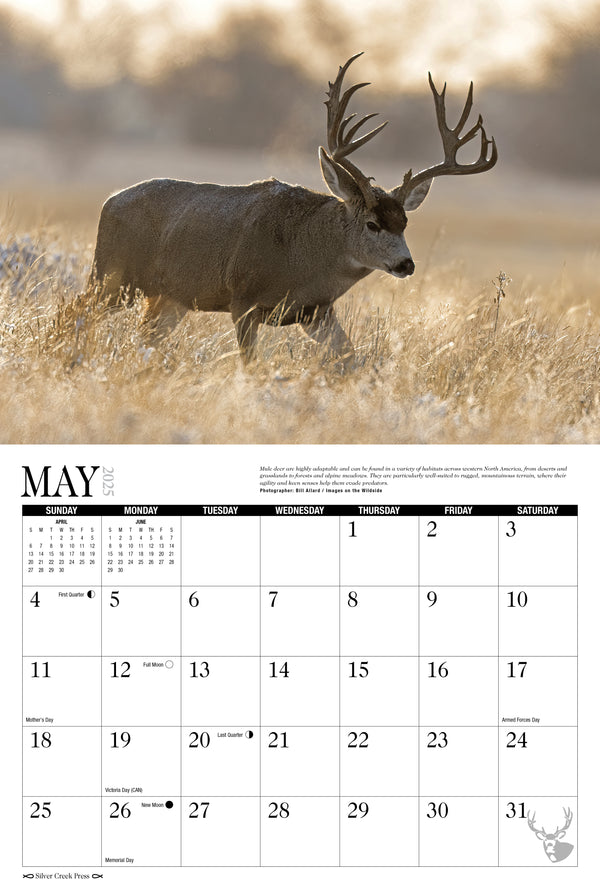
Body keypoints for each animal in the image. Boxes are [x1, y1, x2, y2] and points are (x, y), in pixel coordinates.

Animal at [89, 53, 497, 367]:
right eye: (372, 224)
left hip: (168, 297)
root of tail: (110, 200)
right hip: (111, 276)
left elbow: (351, 360)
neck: (303, 258)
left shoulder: (316, 312)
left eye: (405, 222)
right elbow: (251, 366)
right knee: (81, 312)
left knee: (145, 338)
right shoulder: (243, 298)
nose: (405, 264)